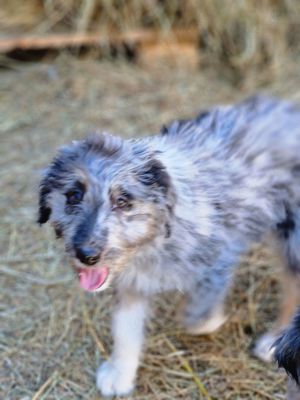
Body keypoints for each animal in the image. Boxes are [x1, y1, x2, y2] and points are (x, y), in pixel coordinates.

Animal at [38, 94, 300, 396]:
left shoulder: (220, 256)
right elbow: (125, 329)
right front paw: (120, 373)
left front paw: (212, 319)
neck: (155, 239)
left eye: (123, 201)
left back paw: (272, 341)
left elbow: (196, 319)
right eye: (73, 195)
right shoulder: (132, 282)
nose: (87, 255)